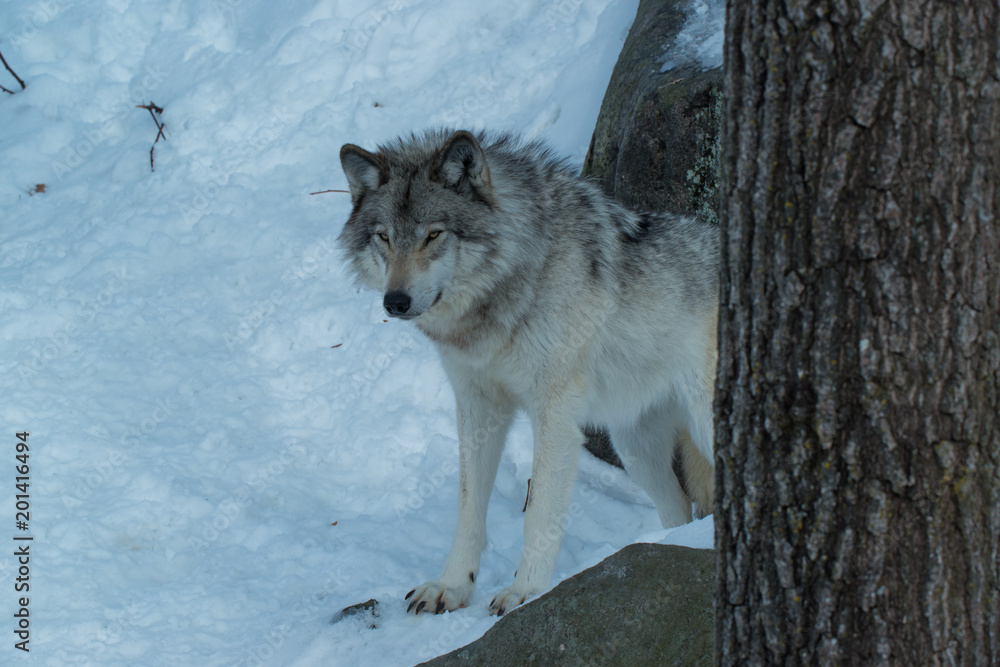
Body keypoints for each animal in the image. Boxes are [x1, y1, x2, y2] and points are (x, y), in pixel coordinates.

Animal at [338, 129, 718, 616]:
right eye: (384, 238)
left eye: (434, 235)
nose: (395, 302)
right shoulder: (478, 408)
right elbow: (467, 508)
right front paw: (452, 586)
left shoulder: (554, 414)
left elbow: (538, 512)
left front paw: (525, 592)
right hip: (636, 451)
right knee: (679, 509)